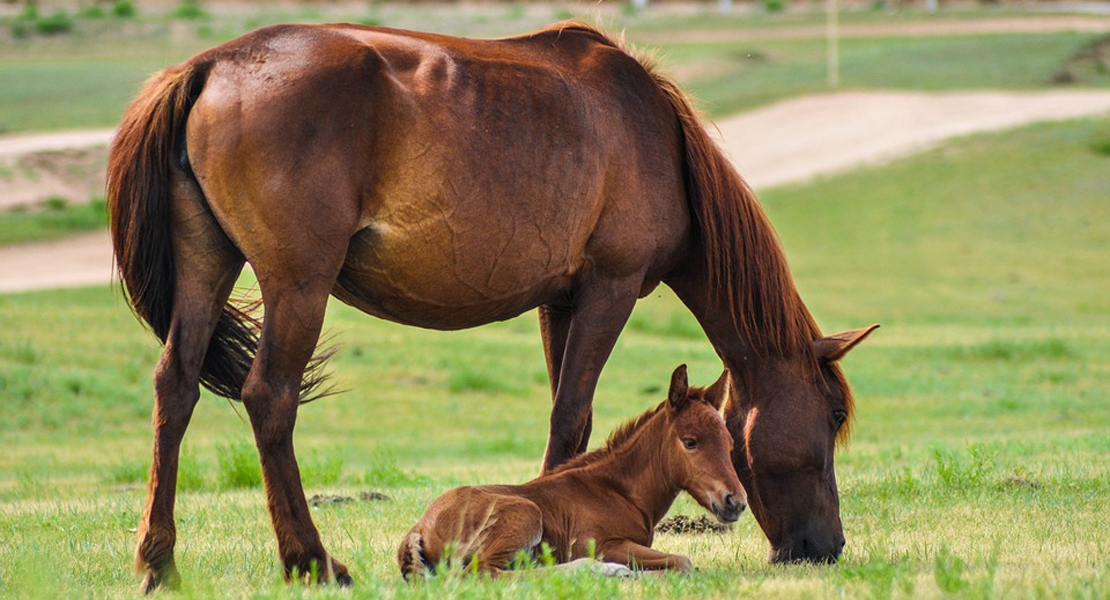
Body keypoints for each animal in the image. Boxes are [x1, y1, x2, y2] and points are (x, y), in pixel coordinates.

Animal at [398, 365, 744, 579]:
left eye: (729, 443)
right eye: (690, 442)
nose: (736, 502)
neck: (618, 491)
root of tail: (419, 527)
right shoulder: (602, 544)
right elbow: (683, 562)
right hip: (525, 514)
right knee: (484, 573)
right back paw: (602, 570)